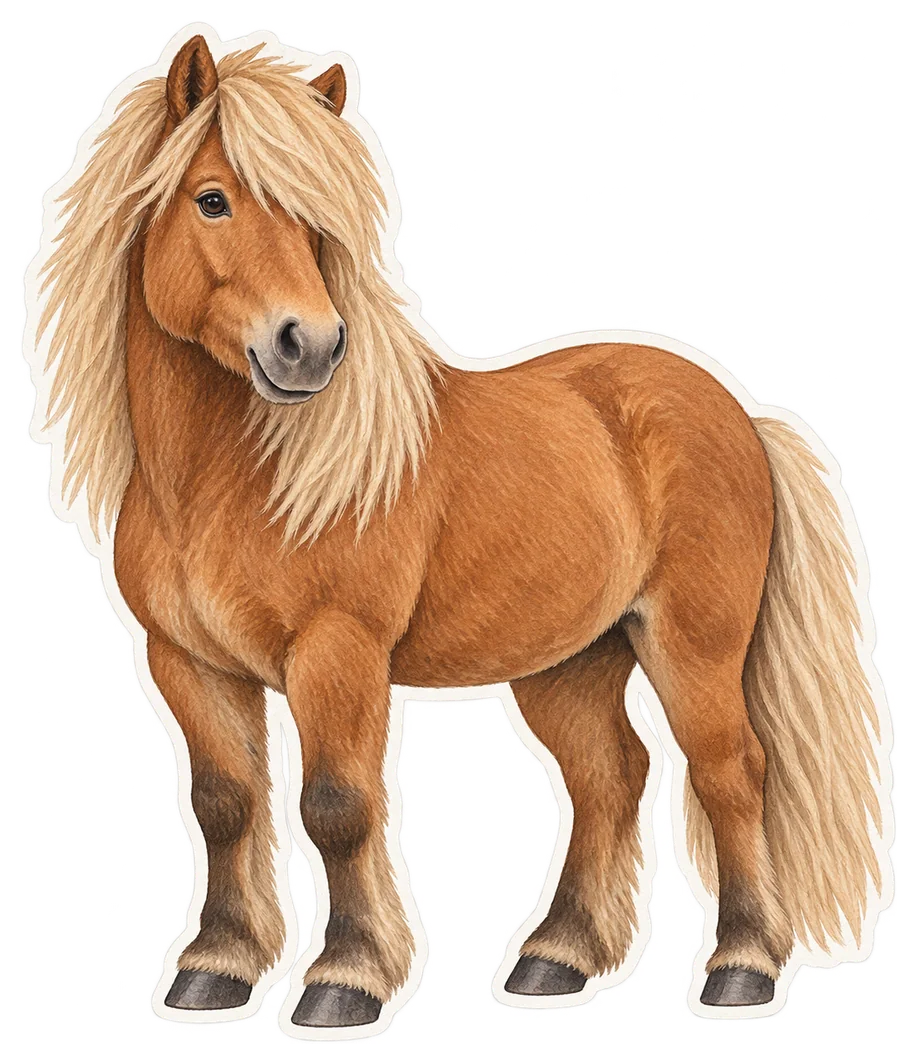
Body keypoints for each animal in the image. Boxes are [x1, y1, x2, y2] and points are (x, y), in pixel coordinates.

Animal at [32, 33, 890, 1030]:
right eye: (212, 199)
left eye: (314, 223)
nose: (310, 346)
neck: (229, 482)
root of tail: (739, 413)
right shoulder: (186, 661)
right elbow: (223, 803)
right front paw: (217, 968)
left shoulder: (337, 654)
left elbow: (337, 806)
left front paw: (344, 980)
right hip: (571, 658)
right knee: (609, 775)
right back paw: (558, 958)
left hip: (692, 646)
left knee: (728, 771)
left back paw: (742, 967)